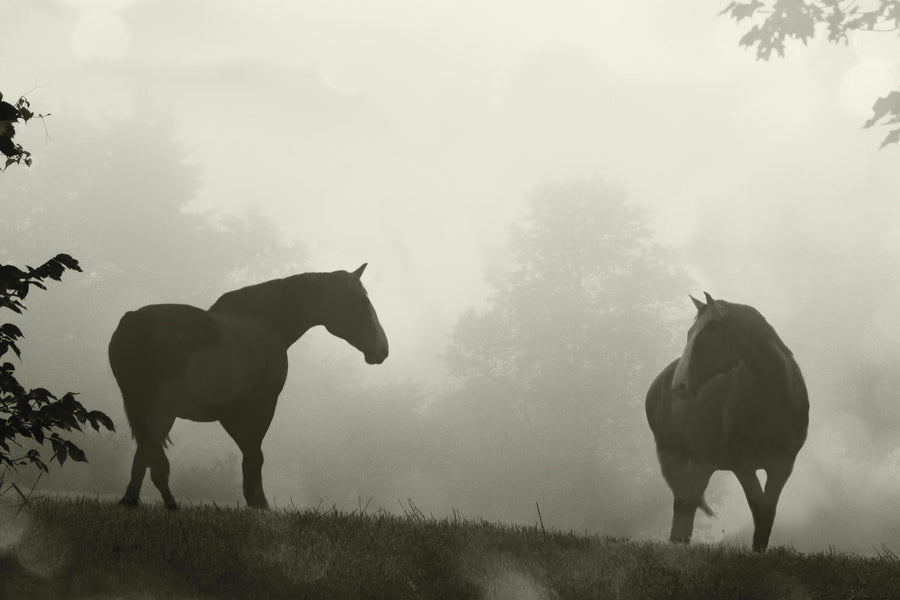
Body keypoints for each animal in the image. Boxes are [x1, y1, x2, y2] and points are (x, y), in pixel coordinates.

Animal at [108, 264, 388, 510]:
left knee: (146, 452)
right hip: (160, 408)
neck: (265, 325)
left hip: (147, 407)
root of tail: (133, 320)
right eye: (362, 302)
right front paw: (259, 504)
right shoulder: (257, 407)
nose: (383, 349)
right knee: (152, 453)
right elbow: (254, 454)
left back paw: (138, 501)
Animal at [645, 292, 808, 552]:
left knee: (688, 501)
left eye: (709, 333)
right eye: (690, 333)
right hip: (675, 453)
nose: (678, 385)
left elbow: (768, 511)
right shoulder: (744, 466)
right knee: (683, 501)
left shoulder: (783, 466)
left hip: (702, 462)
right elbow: (758, 507)